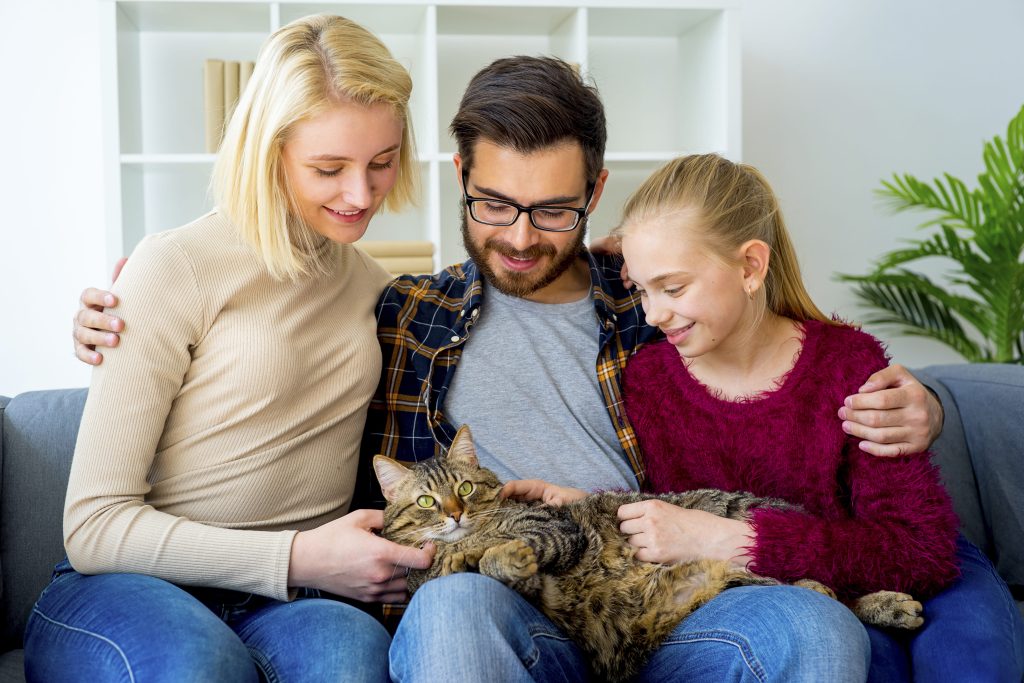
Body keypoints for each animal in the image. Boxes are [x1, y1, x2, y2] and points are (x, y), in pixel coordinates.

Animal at [374, 423, 921, 679]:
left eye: (465, 489)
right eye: (426, 502)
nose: (454, 514)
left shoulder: (552, 527)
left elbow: (501, 547)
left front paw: (486, 549)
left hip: (749, 522)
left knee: (834, 582)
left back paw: (887, 603)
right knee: (823, 589)